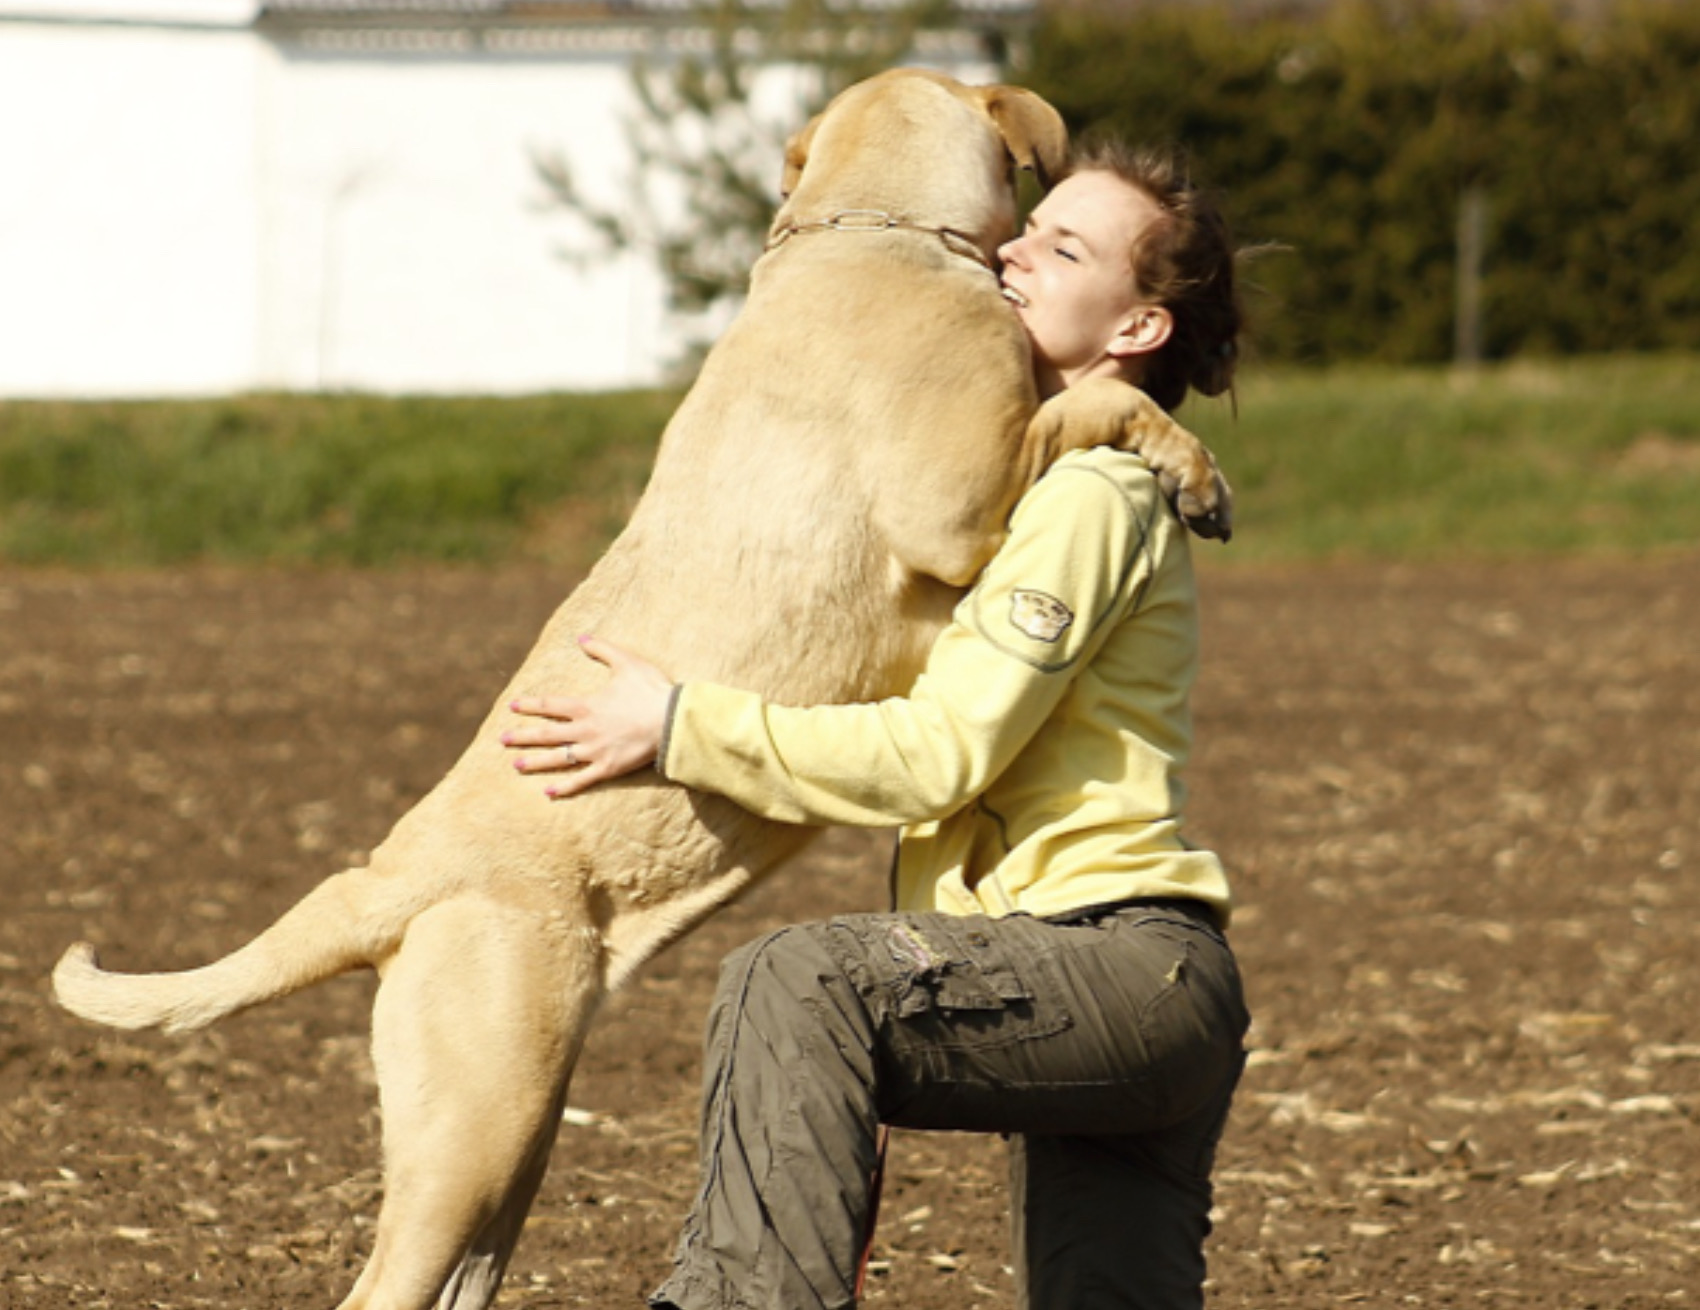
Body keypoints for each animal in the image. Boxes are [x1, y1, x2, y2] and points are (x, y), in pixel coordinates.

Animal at [49, 69, 1224, 1310]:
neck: (872, 231)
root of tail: (385, 876)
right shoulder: (965, 507)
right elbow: (1100, 409)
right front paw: (1194, 473)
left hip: (514, 1122)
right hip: (477, 1123)